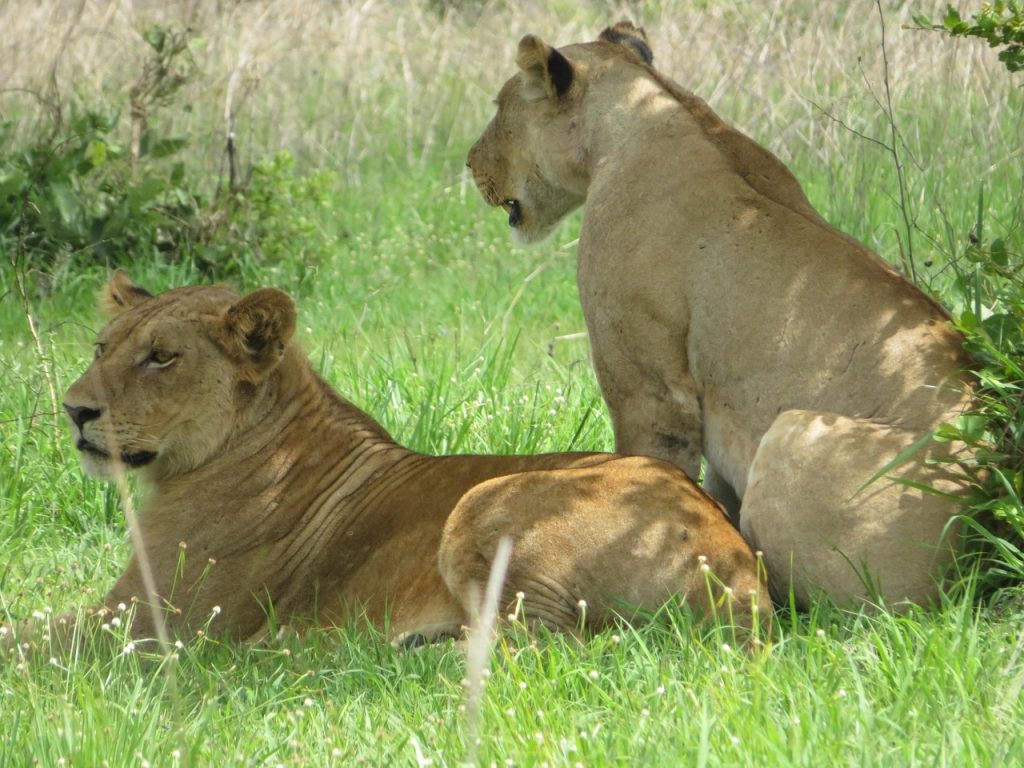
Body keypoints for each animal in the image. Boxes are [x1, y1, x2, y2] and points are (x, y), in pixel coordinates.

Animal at [17, 270, 767, 648]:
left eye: (162, 357)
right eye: (102, 347)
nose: (74, 409)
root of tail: (737, 565)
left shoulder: (153, 627)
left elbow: (25, 641)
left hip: (483, 503)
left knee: (537, 644)